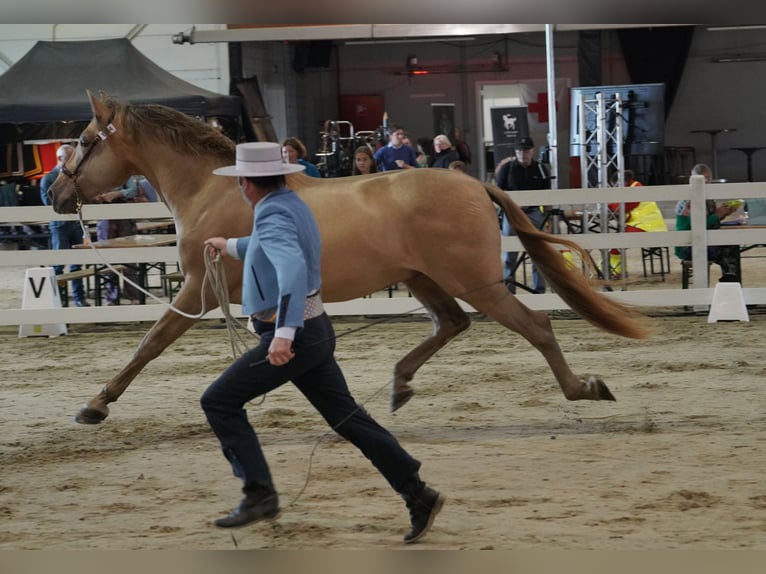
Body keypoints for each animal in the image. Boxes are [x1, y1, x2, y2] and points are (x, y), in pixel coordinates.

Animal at [46, 91, 648, 428]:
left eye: (85, 139)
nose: (54, 192)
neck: (213, 190)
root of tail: (474, 184)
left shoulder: (200, 287)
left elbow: (149, 344)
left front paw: (96, 404)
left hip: (475, 281)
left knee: (536, 326)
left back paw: (584, 388)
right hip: (422, 279)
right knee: (451, 325)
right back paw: (400, 385)